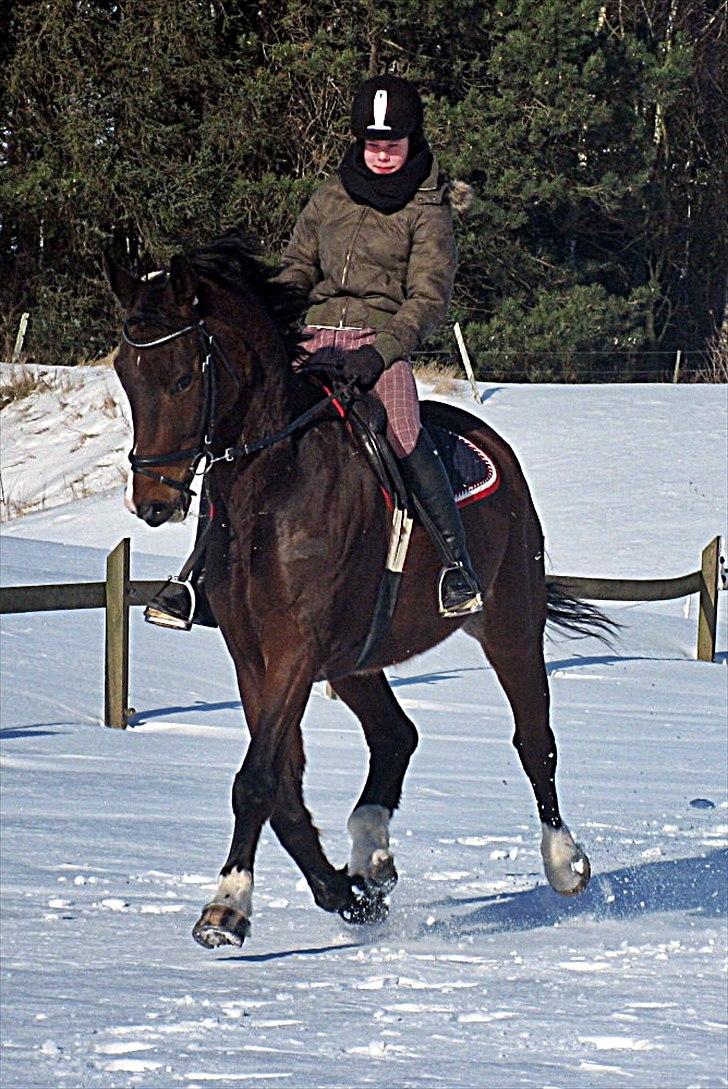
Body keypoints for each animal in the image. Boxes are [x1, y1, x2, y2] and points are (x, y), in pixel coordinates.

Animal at [100, 234, 600, 949]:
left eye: (183, 378)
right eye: (125, 373)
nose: (153, 502)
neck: (273, 484)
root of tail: (489, 441)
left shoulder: (294, 650)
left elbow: (257, 779)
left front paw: (227, 905)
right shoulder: (254, 656)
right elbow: (281, 786)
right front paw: (344, 893)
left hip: (508, 624)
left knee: (534, 739)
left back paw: (564, 864)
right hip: (356, 658)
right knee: (396, 735)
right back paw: (372, 857)